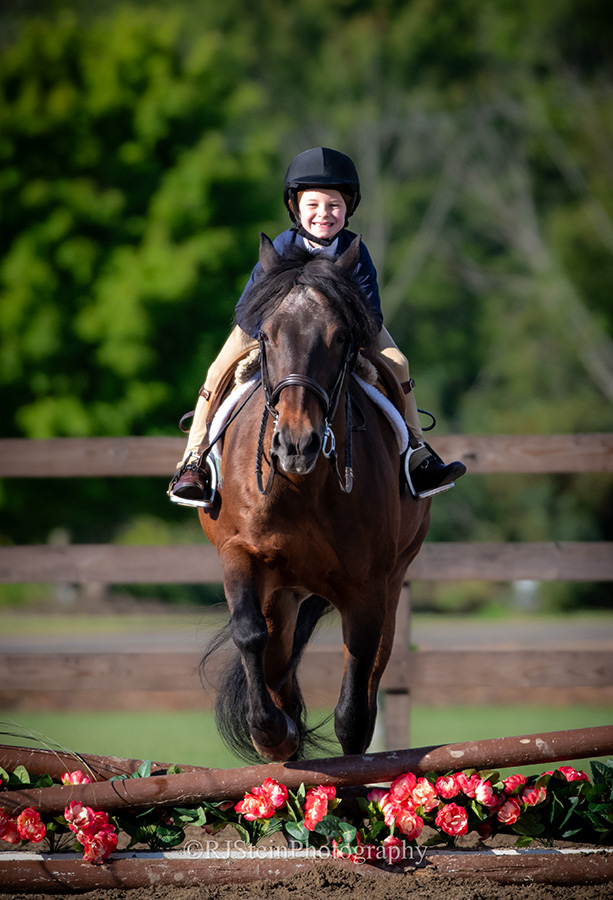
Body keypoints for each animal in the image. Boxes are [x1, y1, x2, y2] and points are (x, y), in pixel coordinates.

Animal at [198, 232, 428, 760]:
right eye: (265, 337)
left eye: (341, 336)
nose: (295, 445)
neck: (302, 487)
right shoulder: (239, 553)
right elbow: (248, 634)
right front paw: (270, 734)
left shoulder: (369, 586)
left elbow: (357, 692)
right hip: (282, 595)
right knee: (276, 662)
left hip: (388, 580)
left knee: (370, 664)